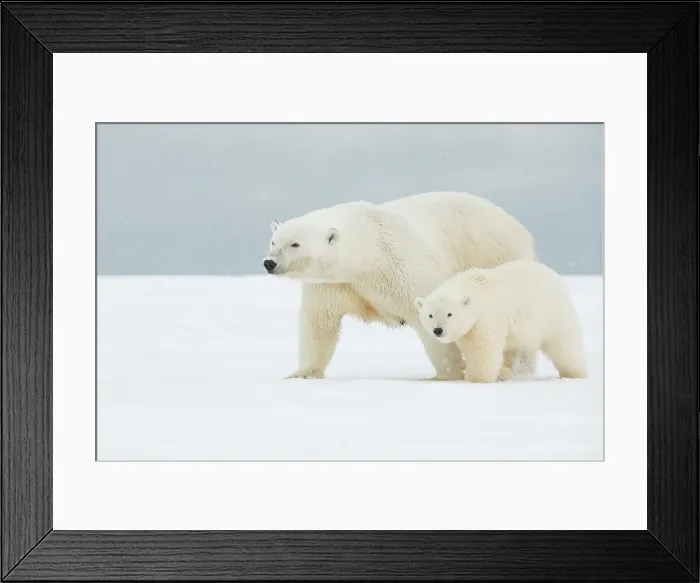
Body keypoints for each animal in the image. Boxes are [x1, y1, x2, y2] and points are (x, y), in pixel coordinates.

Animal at [262, 191, 537, 380]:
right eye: (273, 241)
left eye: (295, 244)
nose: (269, 262)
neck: (369, 254)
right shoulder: (335, 284)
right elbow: (319, 322)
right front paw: (302, 373)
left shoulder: (406, 268)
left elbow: (434, 319)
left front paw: (448, 375)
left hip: (498, 258)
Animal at [414, 259, 587, 383]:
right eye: (430, 315)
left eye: (449, 314)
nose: (438, 330)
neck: (472, 288)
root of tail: (554, 275)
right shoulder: (469, 328)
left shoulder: (486, 317)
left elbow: (482, 348)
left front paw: (476, 378)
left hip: (552, 314)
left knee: (564, 345)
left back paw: (575, 373)